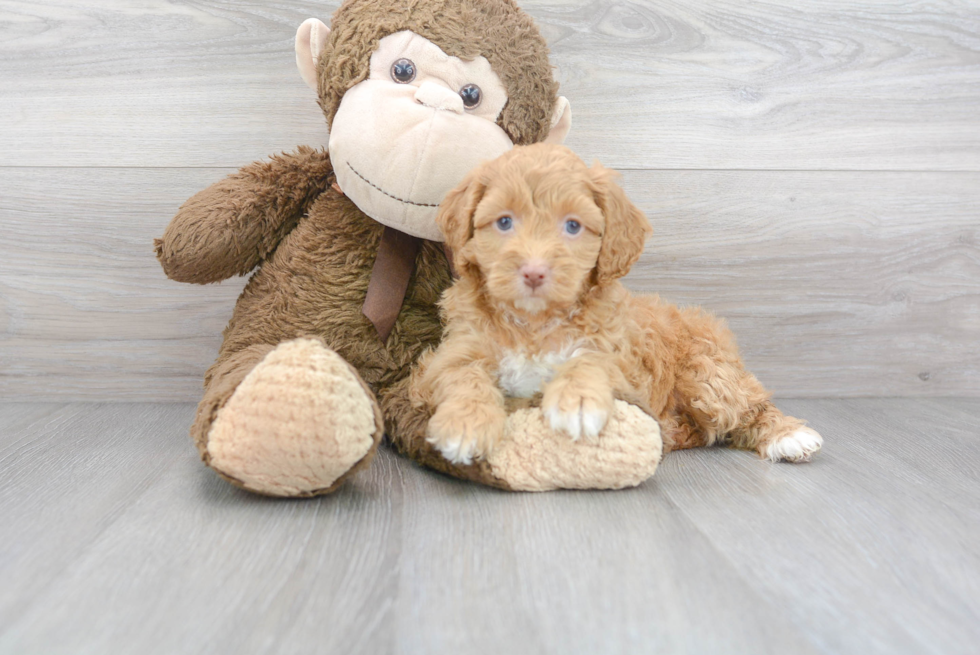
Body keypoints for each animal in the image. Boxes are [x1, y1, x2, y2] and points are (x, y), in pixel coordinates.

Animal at [410, 146, 824, 468]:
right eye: (504, 222)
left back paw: (787, 435)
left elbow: (591, 360)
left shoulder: (622, 361)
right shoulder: (452, 353)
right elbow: (463, 375)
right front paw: (466, 423)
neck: (535, 323)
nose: (534, 271)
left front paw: (577, 400)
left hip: (708, 373)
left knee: (747, 404)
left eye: (572, 226)